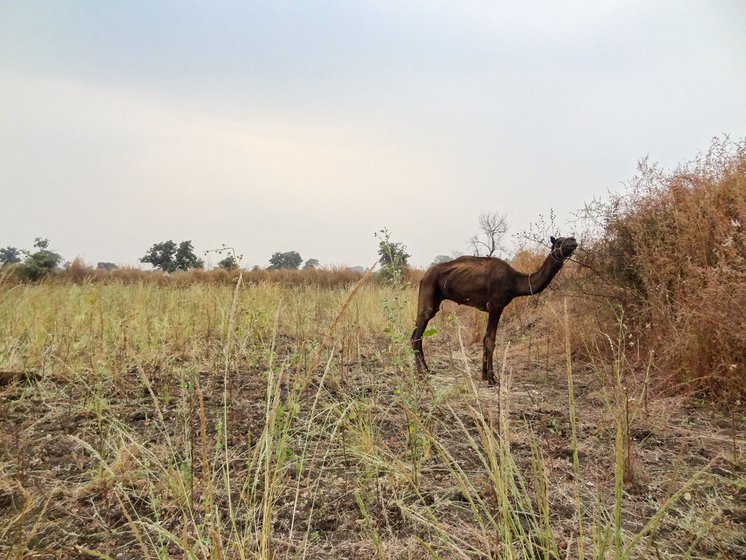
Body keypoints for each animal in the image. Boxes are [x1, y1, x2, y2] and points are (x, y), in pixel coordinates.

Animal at [410, 234, 580, 382]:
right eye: (559, 241)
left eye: (568, 238)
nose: (573, 240)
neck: (515, 282)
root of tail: (424, 276)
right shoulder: (496, 306)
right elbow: (490, 340)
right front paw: (492, 378)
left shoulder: (493, 308)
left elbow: (486, 338)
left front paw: (485, 376)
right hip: (428, 296)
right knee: (416, 336)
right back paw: (420, 373)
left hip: (434, 303)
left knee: (417, 335)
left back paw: (426, 370)